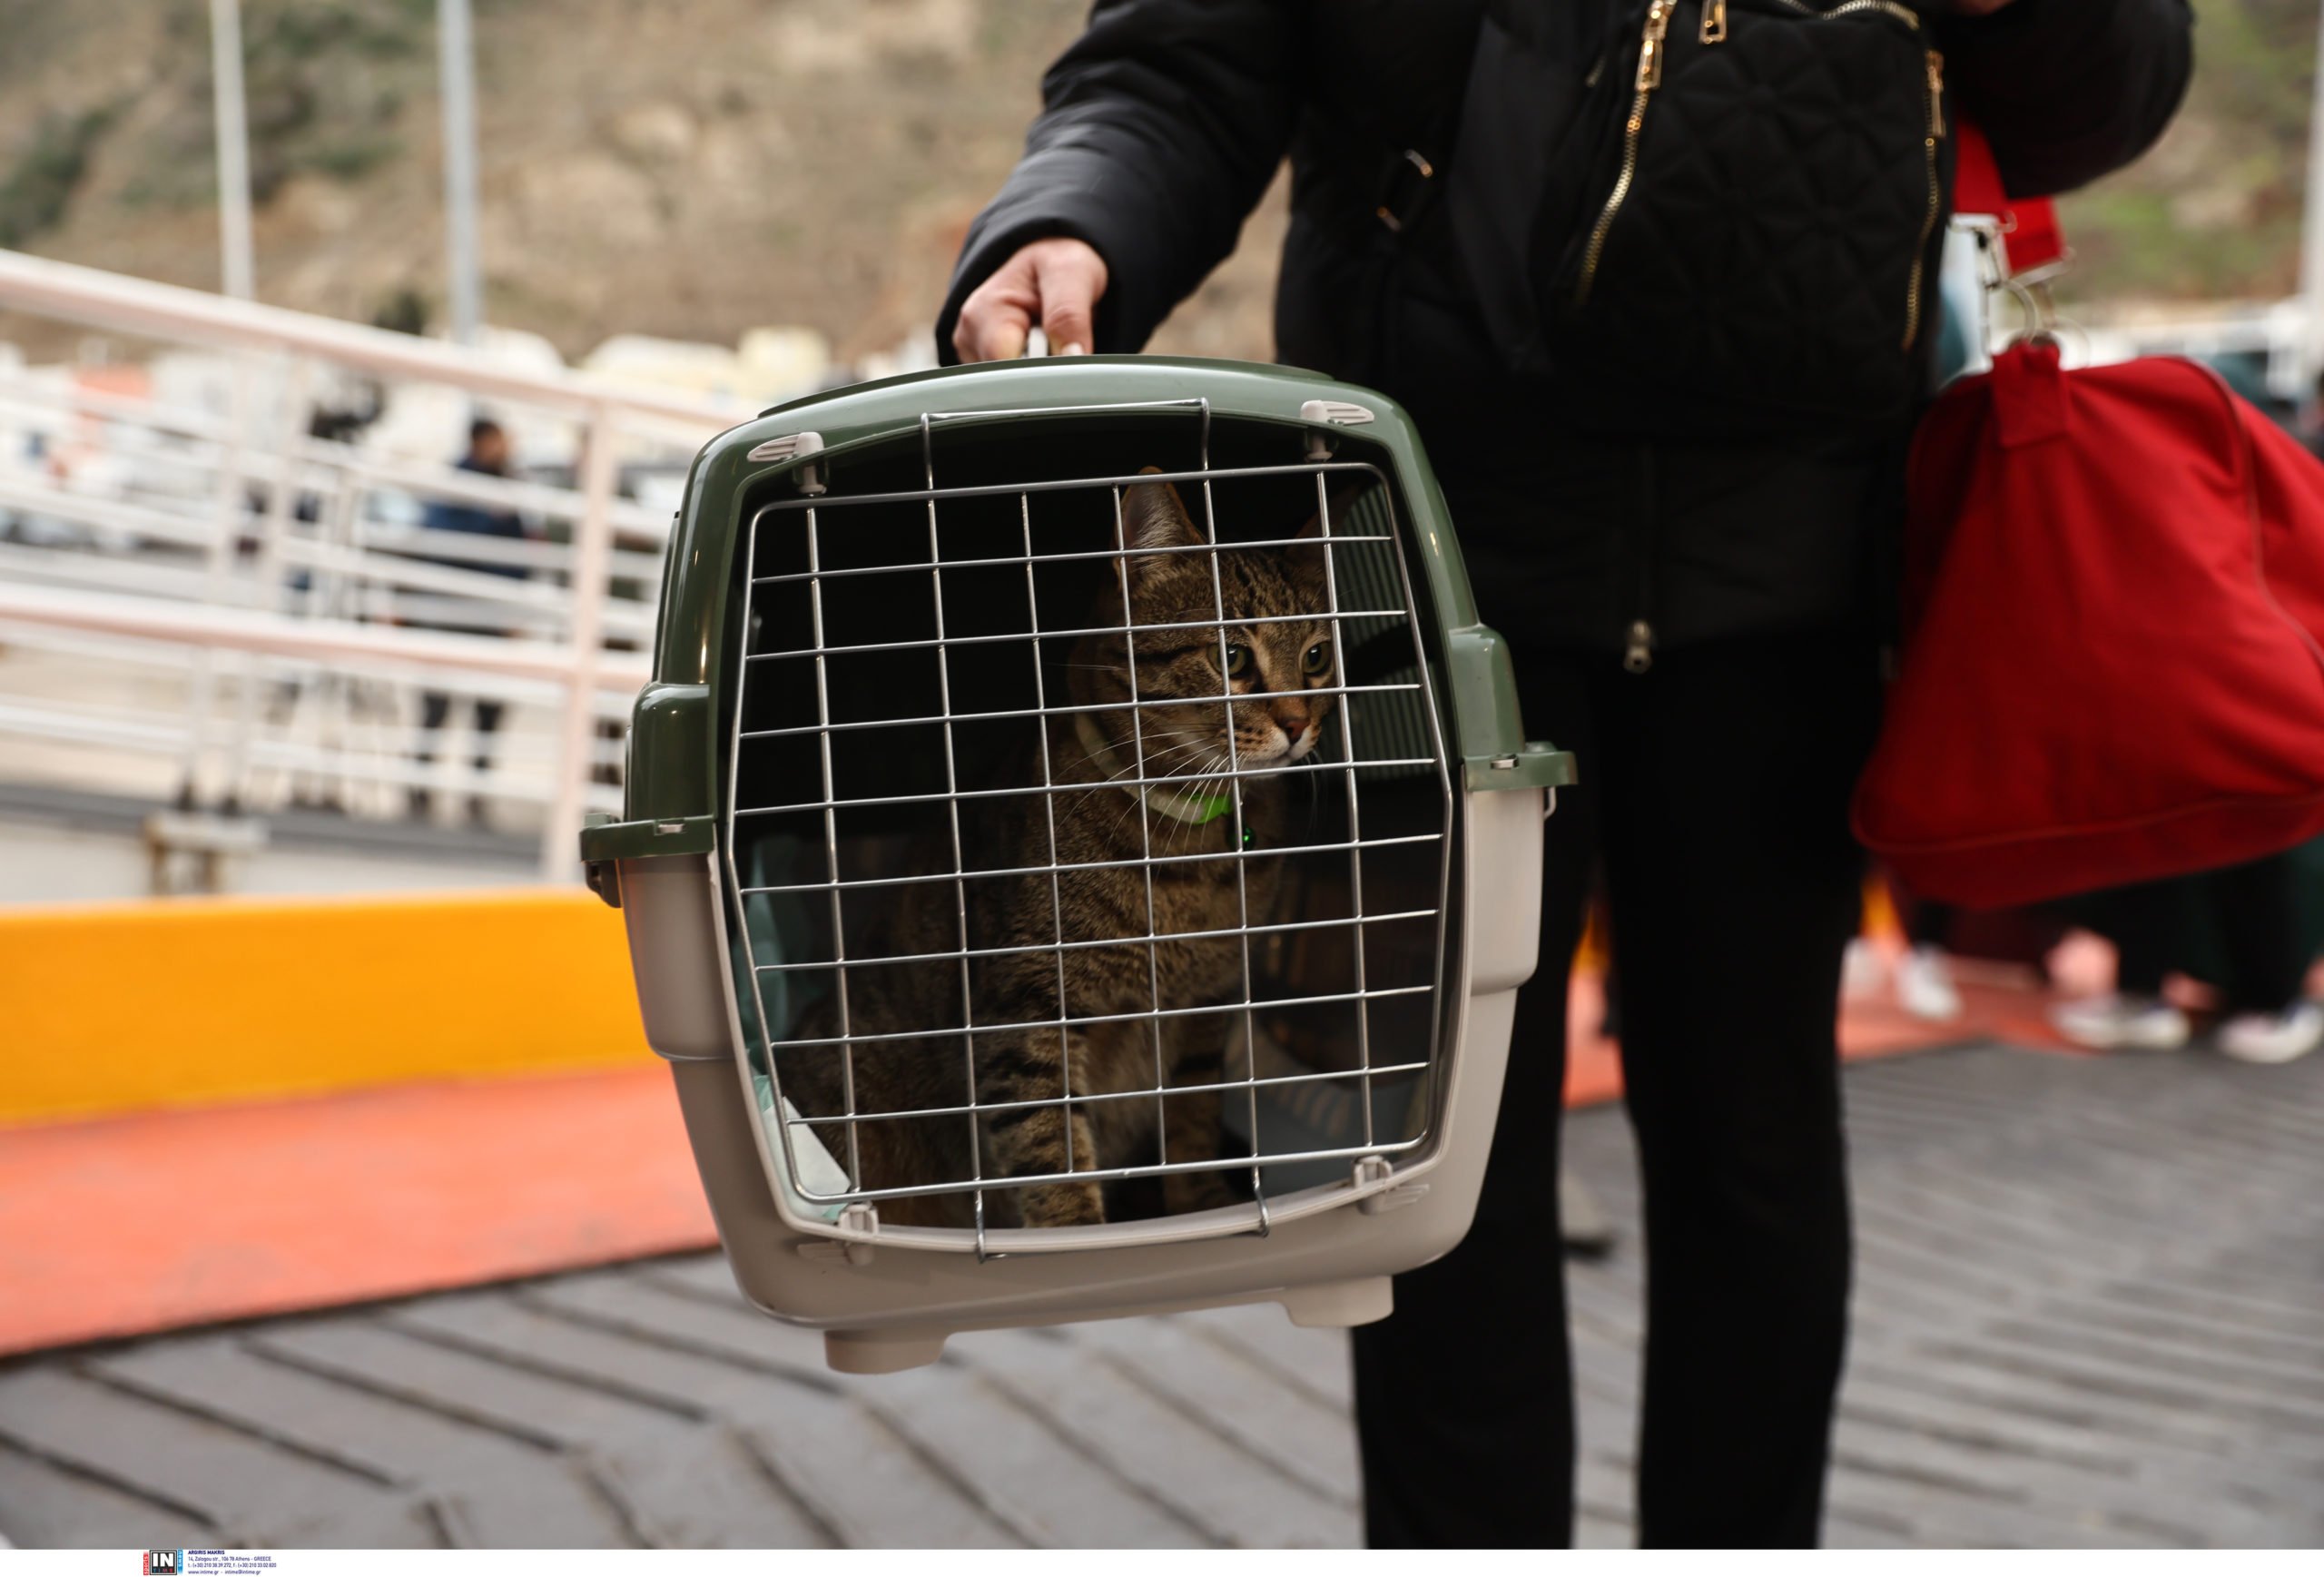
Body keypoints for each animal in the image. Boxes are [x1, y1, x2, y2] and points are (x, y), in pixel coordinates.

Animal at [781, 468, 1338, 1235]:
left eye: (1315, 657)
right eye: (1230, 656)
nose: (1298, 722)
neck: (1187, 839)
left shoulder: (1206, 1008)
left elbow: (1192, 1121)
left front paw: (1199, 1203)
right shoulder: (1029, 1013)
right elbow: (1052, 1145)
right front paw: (1079, 1232)